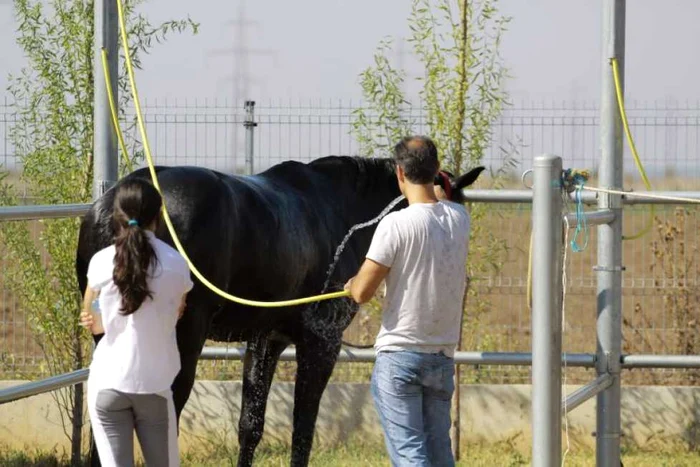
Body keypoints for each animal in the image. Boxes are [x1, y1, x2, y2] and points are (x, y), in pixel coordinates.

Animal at [75, 155, 482, 466]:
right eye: (452, 206)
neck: (341, 210)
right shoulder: (321, 343)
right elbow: (303, 427)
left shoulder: (265, 340)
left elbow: (250, 424)